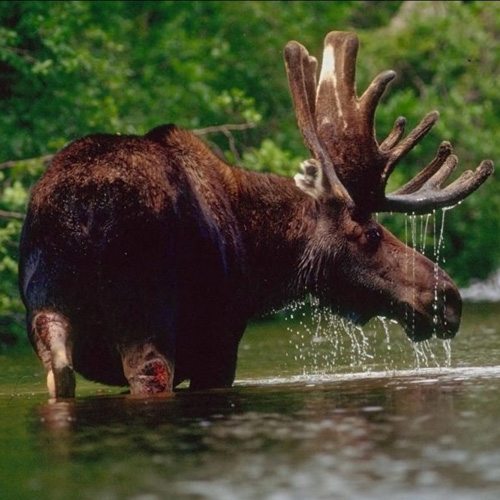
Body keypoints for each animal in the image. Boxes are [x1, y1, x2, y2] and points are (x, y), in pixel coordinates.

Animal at [18, 31, 492, 398]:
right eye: (372, 233)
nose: (449, 297)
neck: (262, 260)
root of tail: (84, 207)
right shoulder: (219, 339)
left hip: (46, 307)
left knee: (60, 372)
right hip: (142, 310)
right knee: (148, 373)